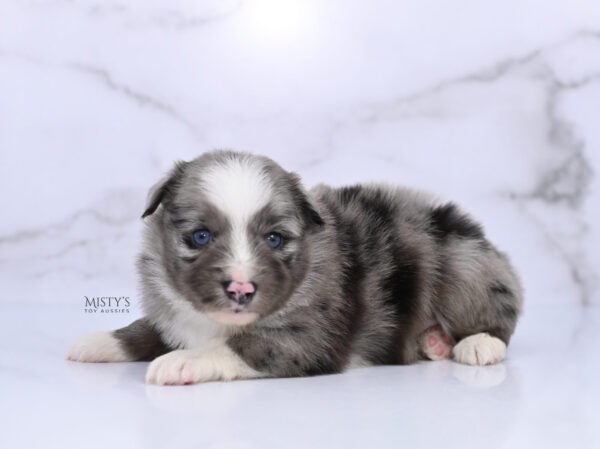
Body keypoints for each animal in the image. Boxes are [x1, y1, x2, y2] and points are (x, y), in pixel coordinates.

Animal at [68, 150, 524, 384]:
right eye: (200, 236)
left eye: (274, 239)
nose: (240, 290)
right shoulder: (172, 308)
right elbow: (148, 329)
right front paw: (100, 341)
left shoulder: (311, 338)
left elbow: (241, 346)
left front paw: (182, 362)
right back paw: (434, 343)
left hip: (465, 266)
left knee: (500, 318)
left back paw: (476, 344)